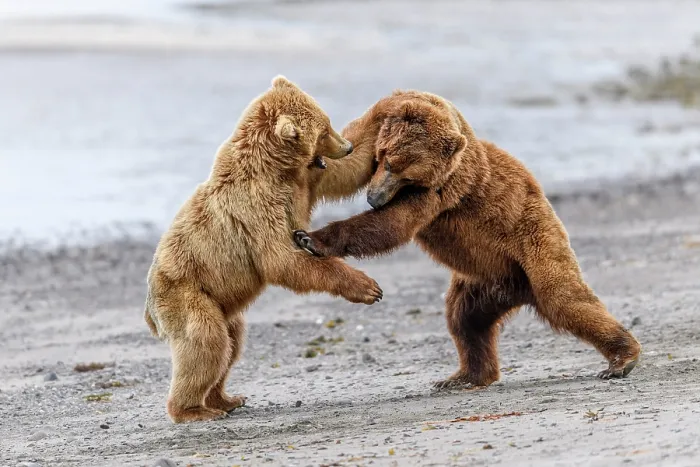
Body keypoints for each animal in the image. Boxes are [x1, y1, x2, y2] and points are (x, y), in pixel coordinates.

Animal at [144, 75, 383, 423]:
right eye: (324, 130)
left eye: (327, 122)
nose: (345, 145)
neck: (273, 166)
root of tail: (149, 310)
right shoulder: (257, 208)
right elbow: (282, 261)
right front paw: (368, 287)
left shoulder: (303, 179)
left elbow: (344, 173)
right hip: (186, 295)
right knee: (205, 342)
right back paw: (193, 410)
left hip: (222, 304)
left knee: (232, 344)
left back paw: (227, 398)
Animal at [294, 90, 642, 389]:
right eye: (386, 160)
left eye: (408, 176)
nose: (374, 199)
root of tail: (520, 289)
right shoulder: (380, 125)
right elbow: (349, 156)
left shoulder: (444, 187)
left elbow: (391, 225)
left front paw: (310, 238)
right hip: (485, 281)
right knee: (465, 320)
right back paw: (465, 376)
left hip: (534, 240)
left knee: (564, 297)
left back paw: (622, 359)